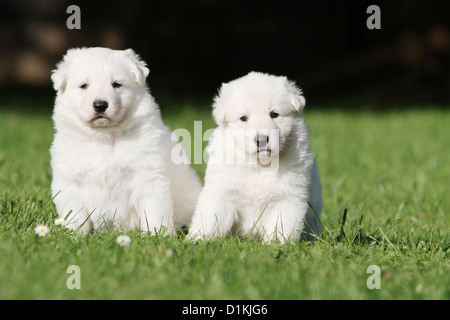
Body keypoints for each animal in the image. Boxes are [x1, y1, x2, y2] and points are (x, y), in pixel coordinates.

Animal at [50, 46, 201, 234]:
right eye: (83, 86)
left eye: (116, 84)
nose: (100, 105)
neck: (104, 138)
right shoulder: (70, 182)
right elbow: (75, 216)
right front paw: (74, 236)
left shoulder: (149, 178)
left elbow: (155, 212)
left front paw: (158, 236)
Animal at [188, 72, 322, 242]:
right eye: (243, 118)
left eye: (274, 114)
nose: (262, 140)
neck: (259, 164)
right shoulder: (222, 192)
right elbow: (210, 218)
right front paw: (198, 240)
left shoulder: (287, 198)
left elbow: (280, 226)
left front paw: (276, 244)